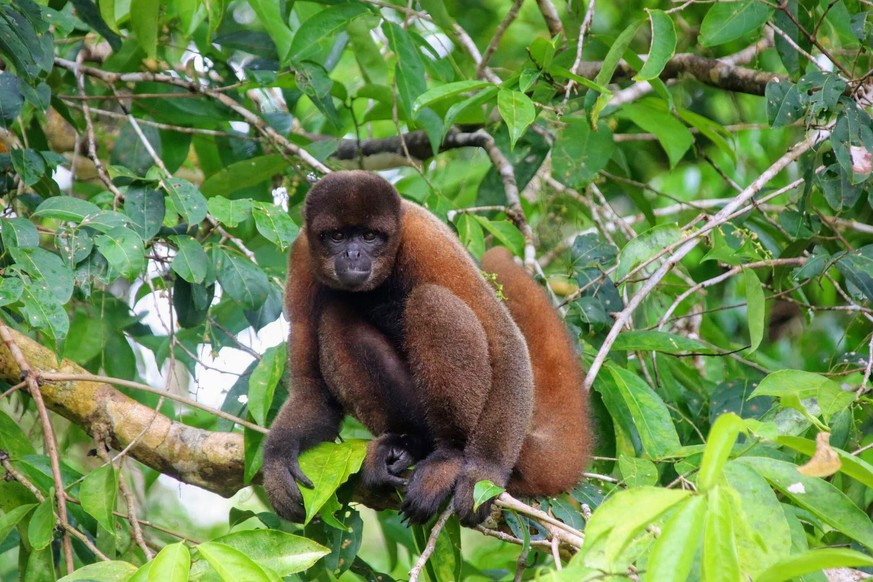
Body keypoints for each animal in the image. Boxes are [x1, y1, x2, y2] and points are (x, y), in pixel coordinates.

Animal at [264, 170, 592, 528]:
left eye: (369, 236)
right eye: (336, 236)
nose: (352, 255)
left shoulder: (426, 240)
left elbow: (505, 341)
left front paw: (483, 473)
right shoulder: (302, 257)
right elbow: (312, 391)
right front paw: (277, 459)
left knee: (432, 302)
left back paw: (451, 457)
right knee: (336, 315)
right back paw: (407, 443)